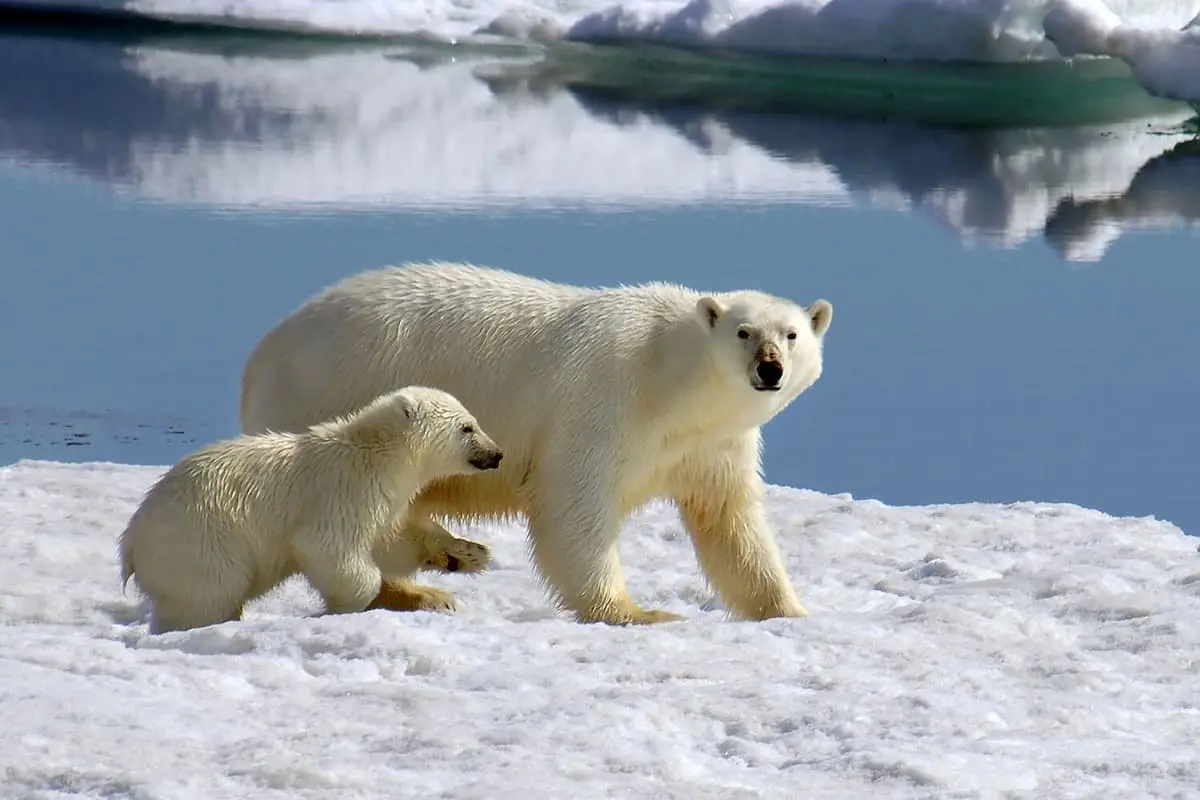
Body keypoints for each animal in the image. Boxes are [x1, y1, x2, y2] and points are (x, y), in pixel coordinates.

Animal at [238, 262, 830, 623]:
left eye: (792, 334)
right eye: (743, 332)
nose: (770, 369)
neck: (669, 380)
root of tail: (261, 354)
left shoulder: (713, 445)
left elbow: (731, 523)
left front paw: (789, 610)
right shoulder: (605, 398)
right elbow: (574, 503)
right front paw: (638, 612)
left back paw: (446, 561)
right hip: (329, 397)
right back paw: (429, 578)